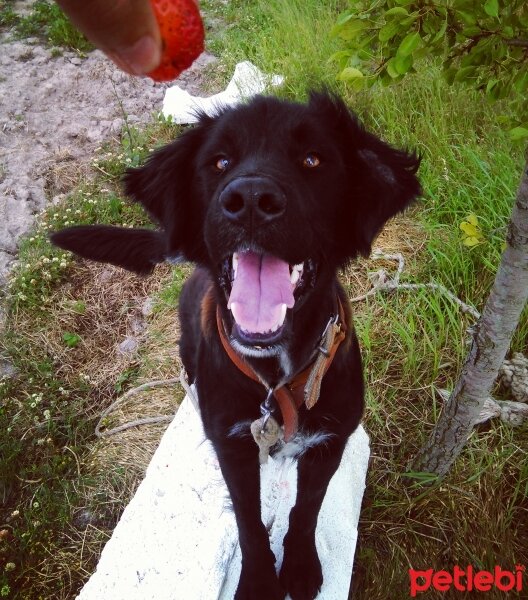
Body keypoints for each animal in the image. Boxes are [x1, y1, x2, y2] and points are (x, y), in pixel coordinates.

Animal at [50, 91, 420, 596]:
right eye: (220, 161)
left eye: (312, 159)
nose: (249, 202)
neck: (274, 379)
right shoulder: (232, 445)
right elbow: (247, 520)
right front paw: (260, 579)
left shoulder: (328, 443)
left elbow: (306, 511)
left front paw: (299, 566)